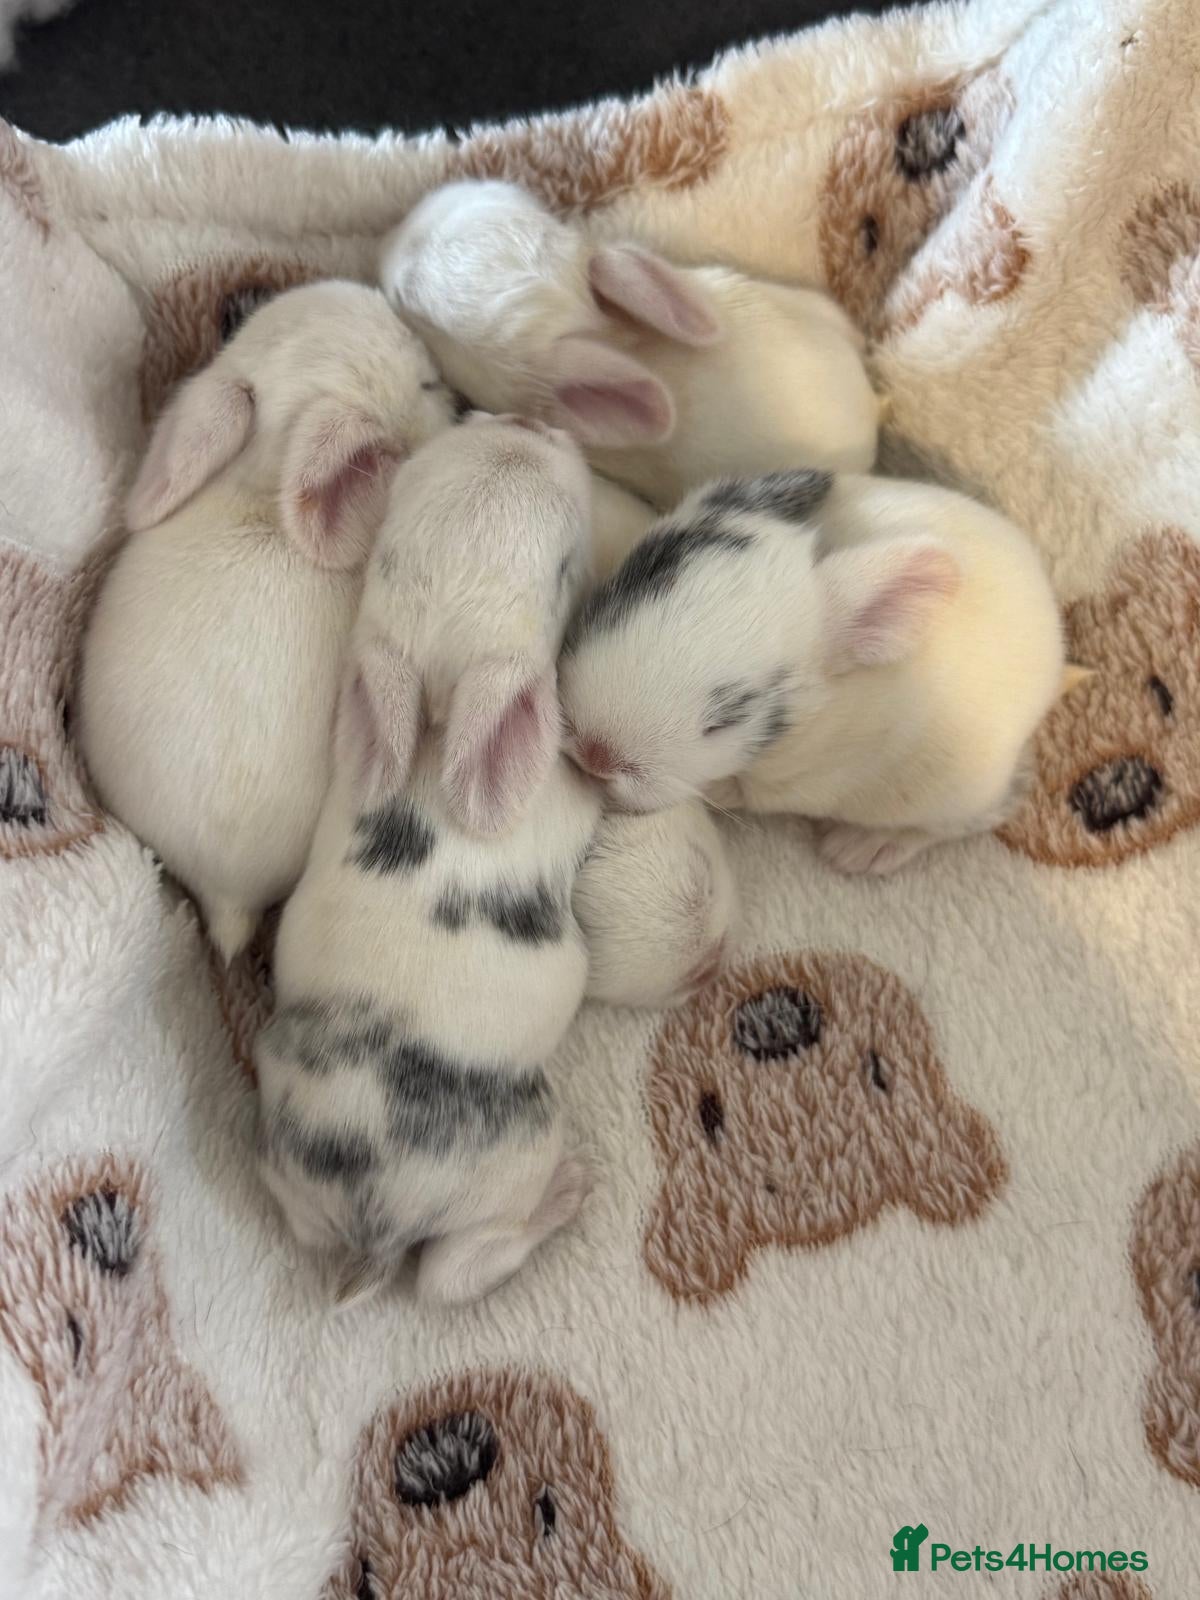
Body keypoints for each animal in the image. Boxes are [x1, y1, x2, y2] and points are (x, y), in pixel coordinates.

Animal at [256, 414, 602, 1306]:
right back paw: (566, 1196)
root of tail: (373, 1223)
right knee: (452, 1272)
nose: (526, 420)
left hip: (290, 1186)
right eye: (566, 571)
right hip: (519, 1150)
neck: (439, 727)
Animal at [558, 468, 1066, 876]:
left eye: (722, 724)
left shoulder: (795, 782)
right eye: (599, 608)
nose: (595, 755)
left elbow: (742, 790)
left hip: (956, 796)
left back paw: (862, 849)